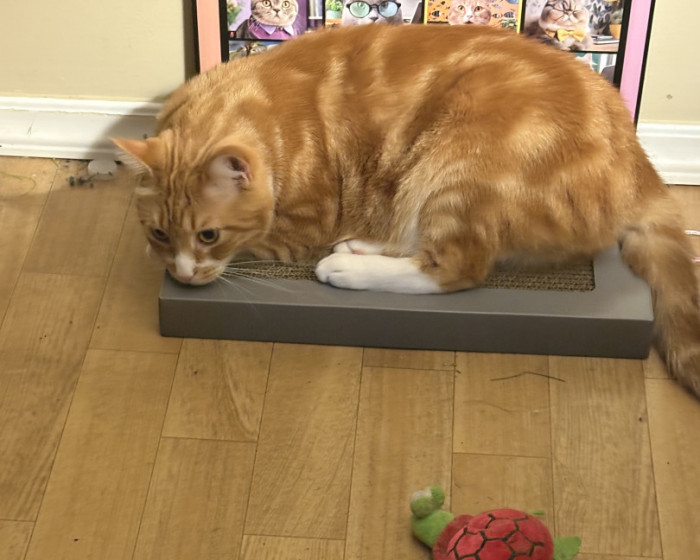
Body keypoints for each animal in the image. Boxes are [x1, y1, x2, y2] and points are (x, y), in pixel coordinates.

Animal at [114, 24, 700, 400]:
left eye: (209, 236)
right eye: (161, 234)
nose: (183, 276)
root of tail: (637, 161)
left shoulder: (302, 225)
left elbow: (263, 242)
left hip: (457, 165)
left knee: (459, 267)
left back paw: (347, 266)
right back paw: (362, 243)